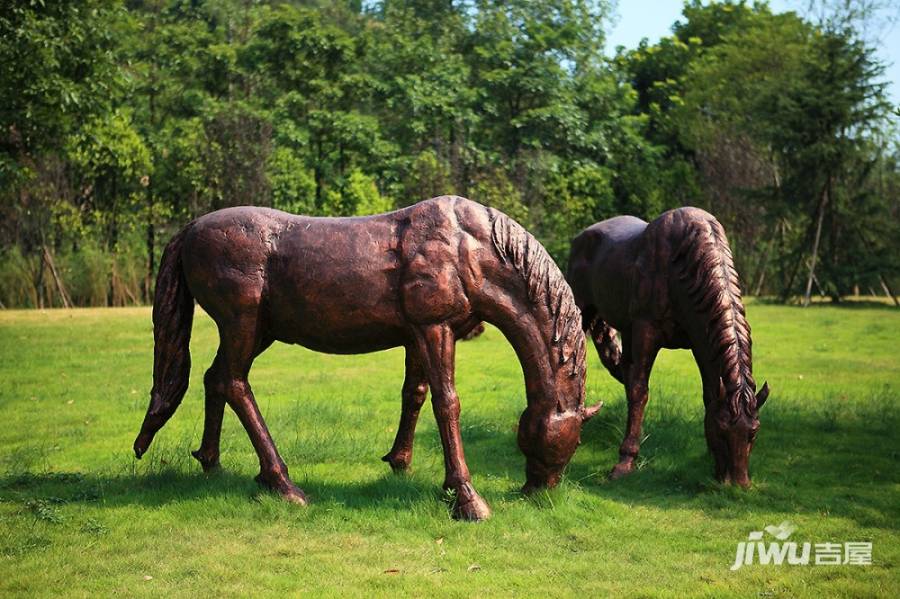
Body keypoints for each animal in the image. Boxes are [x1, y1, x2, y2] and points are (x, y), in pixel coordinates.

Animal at [132, 197, 596, 520]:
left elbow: (416, 393)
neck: (469, 247)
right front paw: (467, 499)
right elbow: (447, 402)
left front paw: (403, 464)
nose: (540, 490)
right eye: (570, 441)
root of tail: (192, 227)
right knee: (234, 383)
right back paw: (283, 483)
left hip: (257, 331)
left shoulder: (418, 335)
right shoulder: (435, 328)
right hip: (241, 324)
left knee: (216, 378)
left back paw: (213, 463)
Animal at [568, 206, 768, 488]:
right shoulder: (646, 331)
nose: (738, 485)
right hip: (583, 312)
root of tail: (581, 237)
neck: (682, 267)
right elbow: (640, 391)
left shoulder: (700, 341)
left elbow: (709, 395)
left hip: (626, 331)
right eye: (722, 430)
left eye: (753, 433)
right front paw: (624, 462)